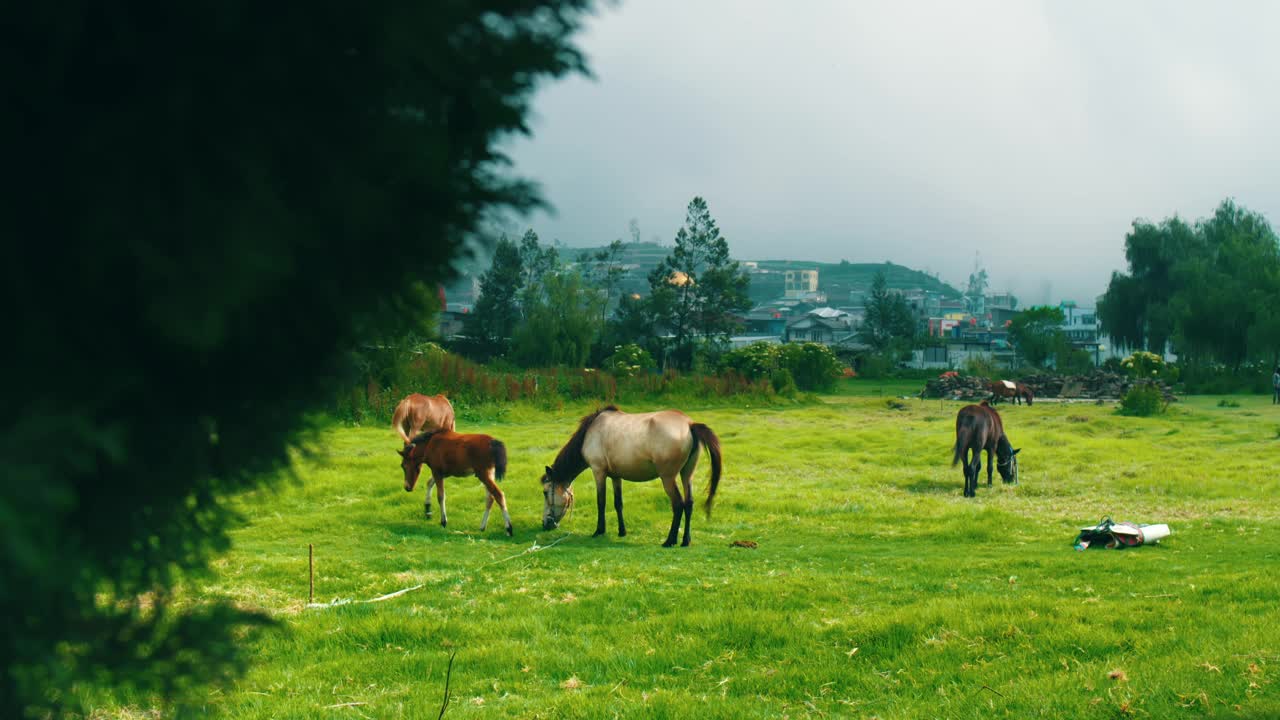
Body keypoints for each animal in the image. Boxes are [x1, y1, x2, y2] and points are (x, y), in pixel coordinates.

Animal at [537, 404, 721, 543]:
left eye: (545, 492)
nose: (545, 524)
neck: (592, 431)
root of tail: (689, 424)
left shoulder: (599, 472)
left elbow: (601, 502)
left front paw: (599, 531)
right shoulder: (616, 476)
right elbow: (618, 503)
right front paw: (622, 531)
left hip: (668, 478)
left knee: (678, 504)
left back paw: (670, 541)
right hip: (686, 474)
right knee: (689, 503)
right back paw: (685, 541)